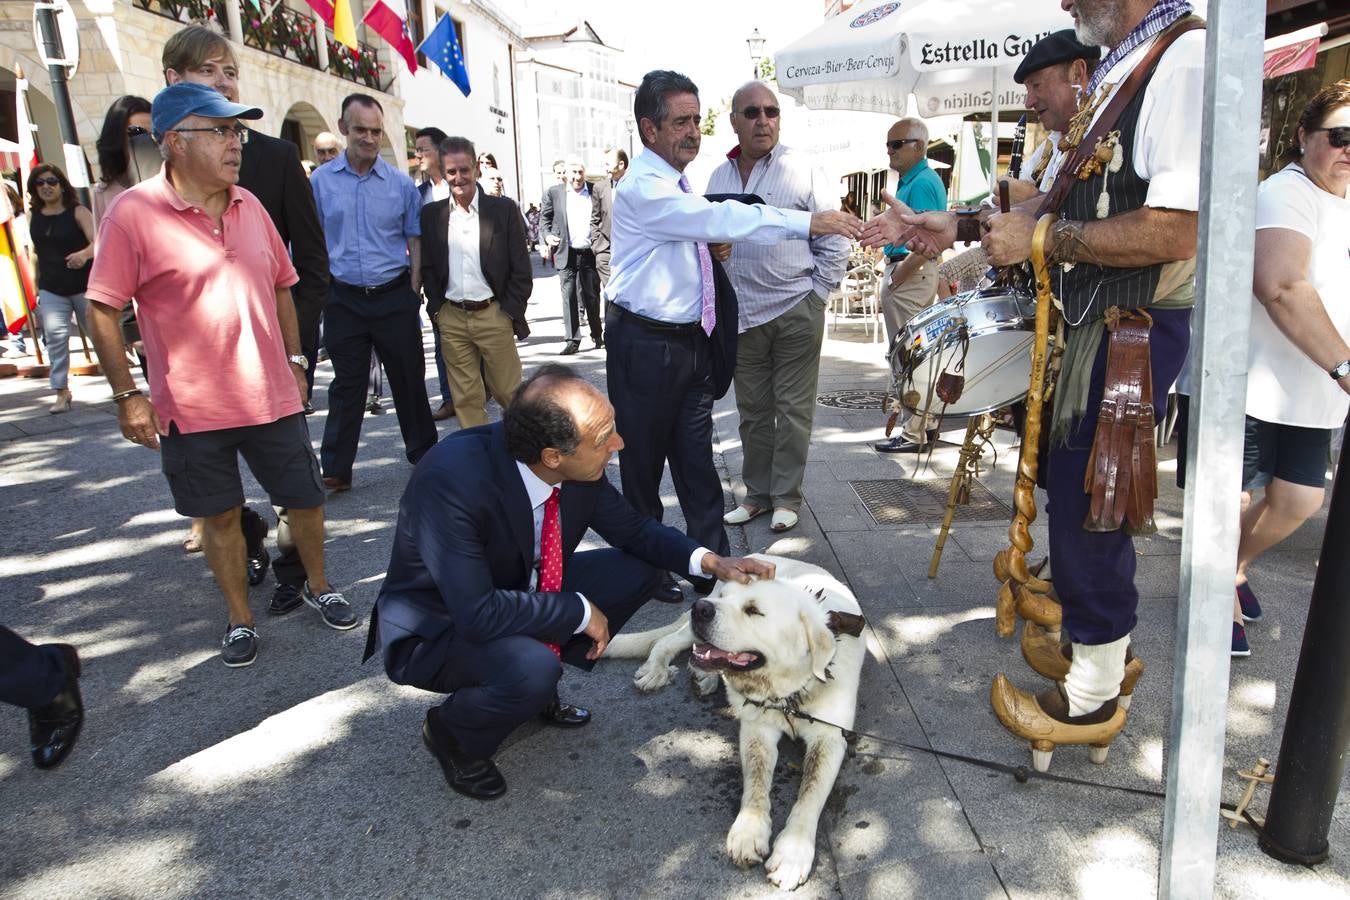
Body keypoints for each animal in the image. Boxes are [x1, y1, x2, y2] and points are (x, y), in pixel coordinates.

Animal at [604, 553, 864, 890]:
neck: (789, 693)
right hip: (689, 633)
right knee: (667, 641)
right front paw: (749, 832)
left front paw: (793, 851)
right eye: (726, 598)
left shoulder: (830, 738)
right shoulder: (757, 728)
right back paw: (660, 669)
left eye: (754, 610)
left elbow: (810, 792)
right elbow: (756, 778)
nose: (701, 607)